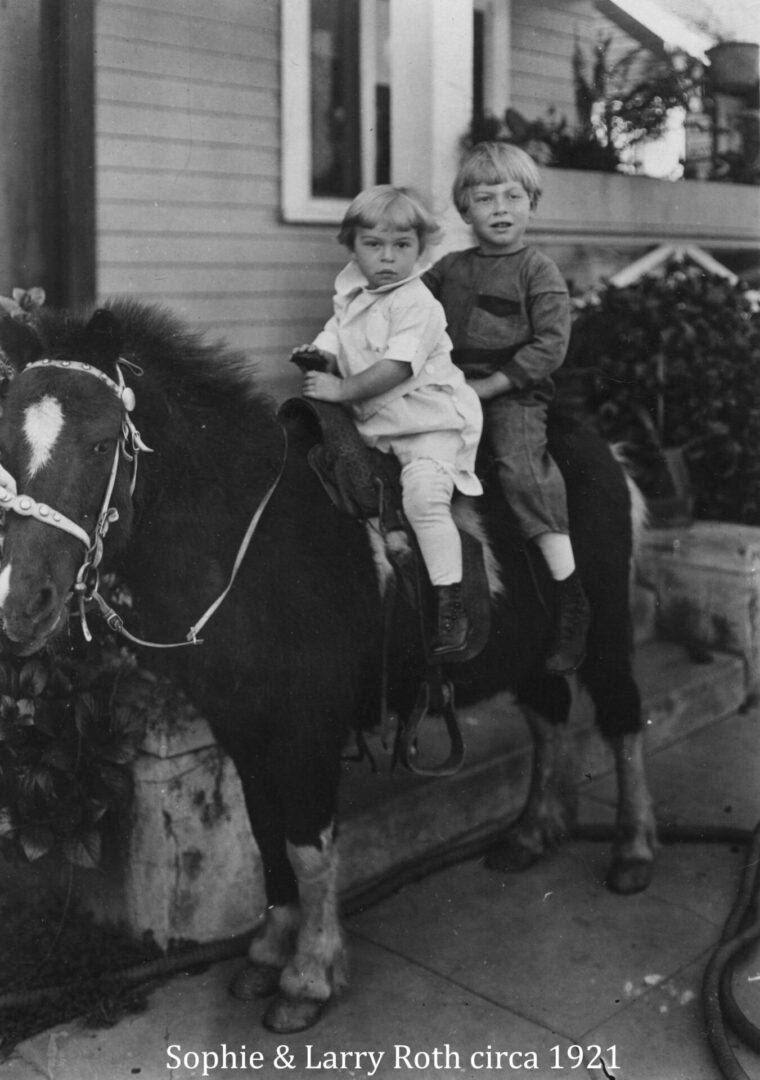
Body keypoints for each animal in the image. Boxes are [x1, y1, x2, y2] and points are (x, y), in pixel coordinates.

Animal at [0, 300, 652, 1032]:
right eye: (5, 445)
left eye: (101, 444)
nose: (25, 601)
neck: (248, 542)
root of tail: (607, 452)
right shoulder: (241, 727)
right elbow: (267, 837)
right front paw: (267, 952)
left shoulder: (307, 728)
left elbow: (307, 848)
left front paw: (309, 975)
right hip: (527, 653)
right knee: (550, 716)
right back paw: (535, 831)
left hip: (607, 633)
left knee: (624, 719)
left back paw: (633, 851)